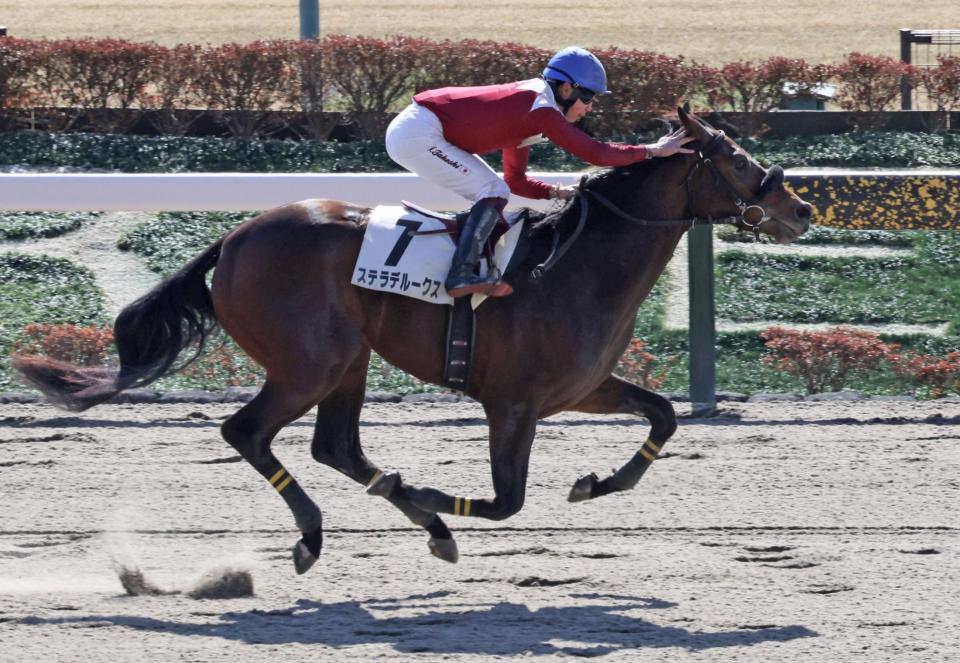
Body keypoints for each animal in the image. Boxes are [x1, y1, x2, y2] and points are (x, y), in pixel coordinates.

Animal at [13, 107, 813, 574]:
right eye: (735, 158)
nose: (802, 207)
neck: (575, 264)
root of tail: (232, 239)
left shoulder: (581, 388)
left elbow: (664, 415)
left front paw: (594, 484)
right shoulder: (511, 403)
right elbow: (507, 502)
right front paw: (429, 491)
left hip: (349, 359)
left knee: (333, 446)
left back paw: (409, 518)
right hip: (307, 363)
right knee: (248, 431)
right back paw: (320, 533)